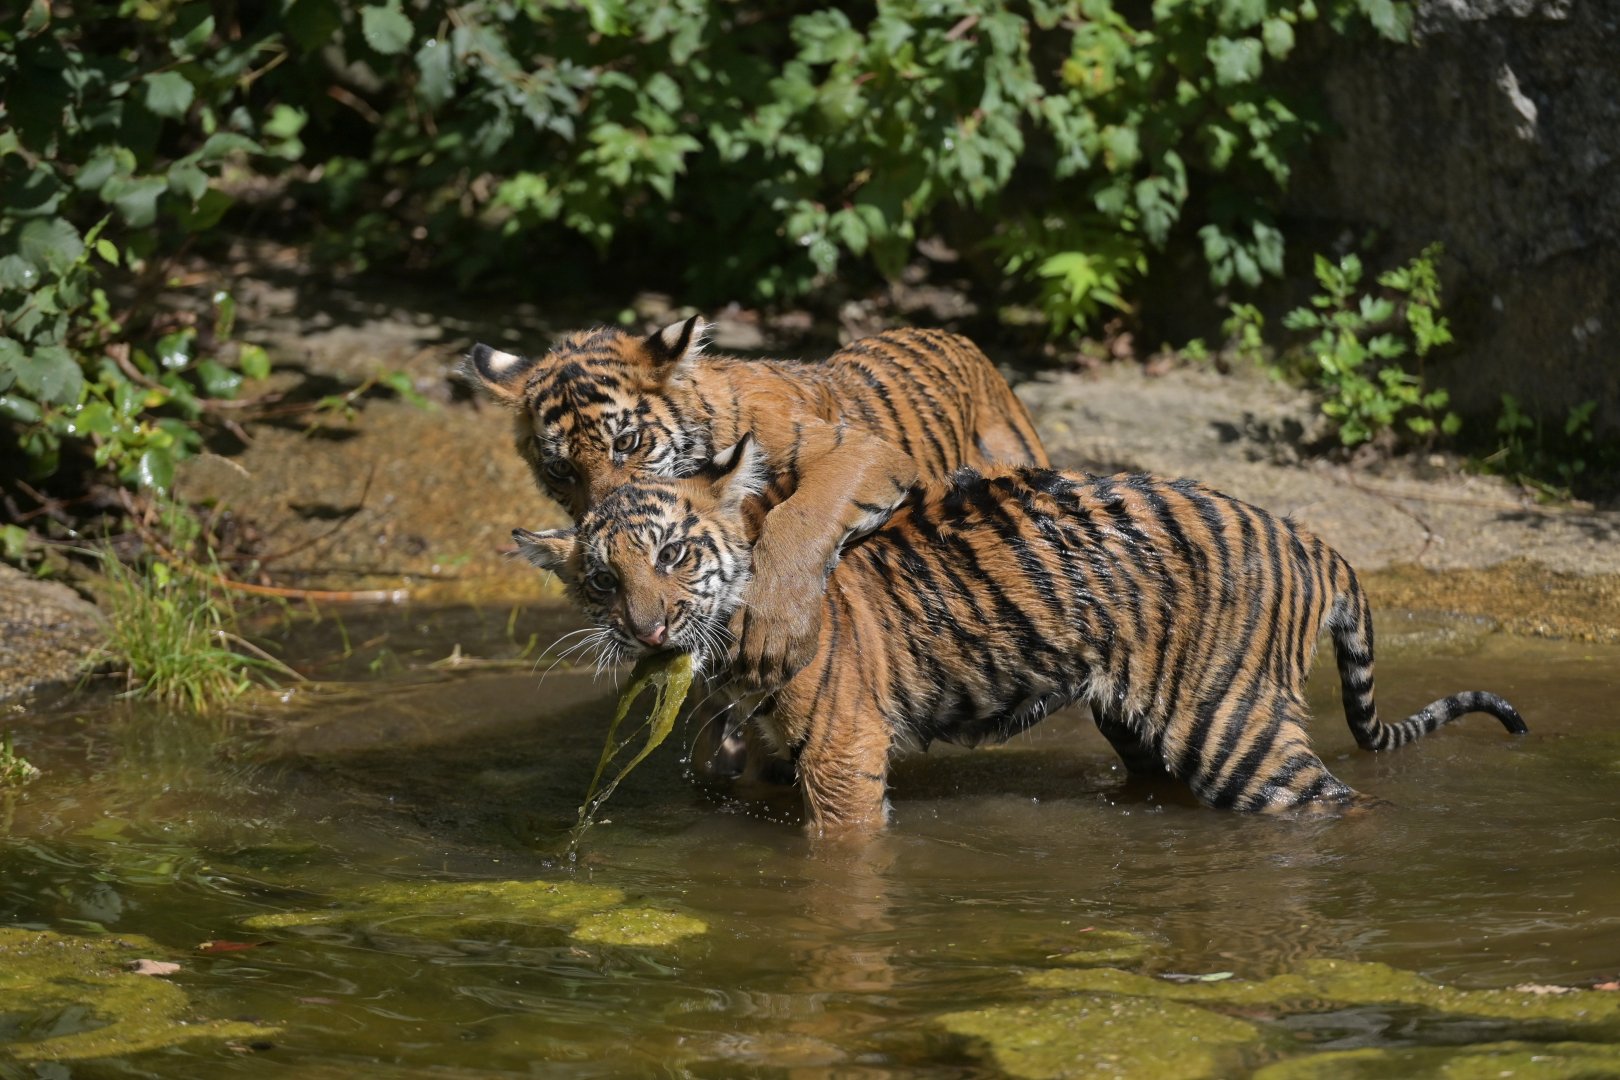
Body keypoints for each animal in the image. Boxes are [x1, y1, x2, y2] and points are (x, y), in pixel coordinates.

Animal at [460, 316, 1047, 691]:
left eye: (626, 442)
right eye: (560, 471)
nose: (606, 523)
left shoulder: (859, 451)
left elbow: (799, 520)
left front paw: (773, 636)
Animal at [511, 435, 1528, 835]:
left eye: (677, 553)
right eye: (602, 580)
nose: (646, 629)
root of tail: (1309, 537)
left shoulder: (843, 751)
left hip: (1229, 726)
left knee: (1333, 803)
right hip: (1142, 720)